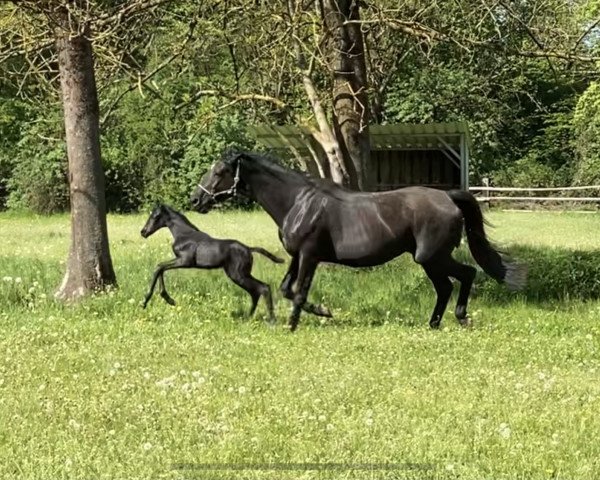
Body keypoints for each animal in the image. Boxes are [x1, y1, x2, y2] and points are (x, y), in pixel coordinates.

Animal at [141, 202, 284, 322]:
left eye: (155, 216)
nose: (143, 232)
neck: (184, 235)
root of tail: (249, 249)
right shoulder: (181, 261)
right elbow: (161, 268)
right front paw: (168, 299)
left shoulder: (185, 261)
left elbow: (159, 267)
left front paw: (147, 301)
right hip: (240, 274)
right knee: (257, 290)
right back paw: (248, 318)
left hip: (238, 274)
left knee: (262, 288)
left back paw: (271, 320)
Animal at [191, 152, 524, 332]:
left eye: (220, 171)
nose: (195, 200)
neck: (298, 203)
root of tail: (448, 197)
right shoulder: (298, 256)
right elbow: (287, 289)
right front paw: (319, 312)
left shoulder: (310, 256)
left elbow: (299, 292)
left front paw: (299, 322)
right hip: (429, 260)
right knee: (445, 287)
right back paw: (433, 323)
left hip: (432, 257)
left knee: (466, 274)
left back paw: (461, 318)